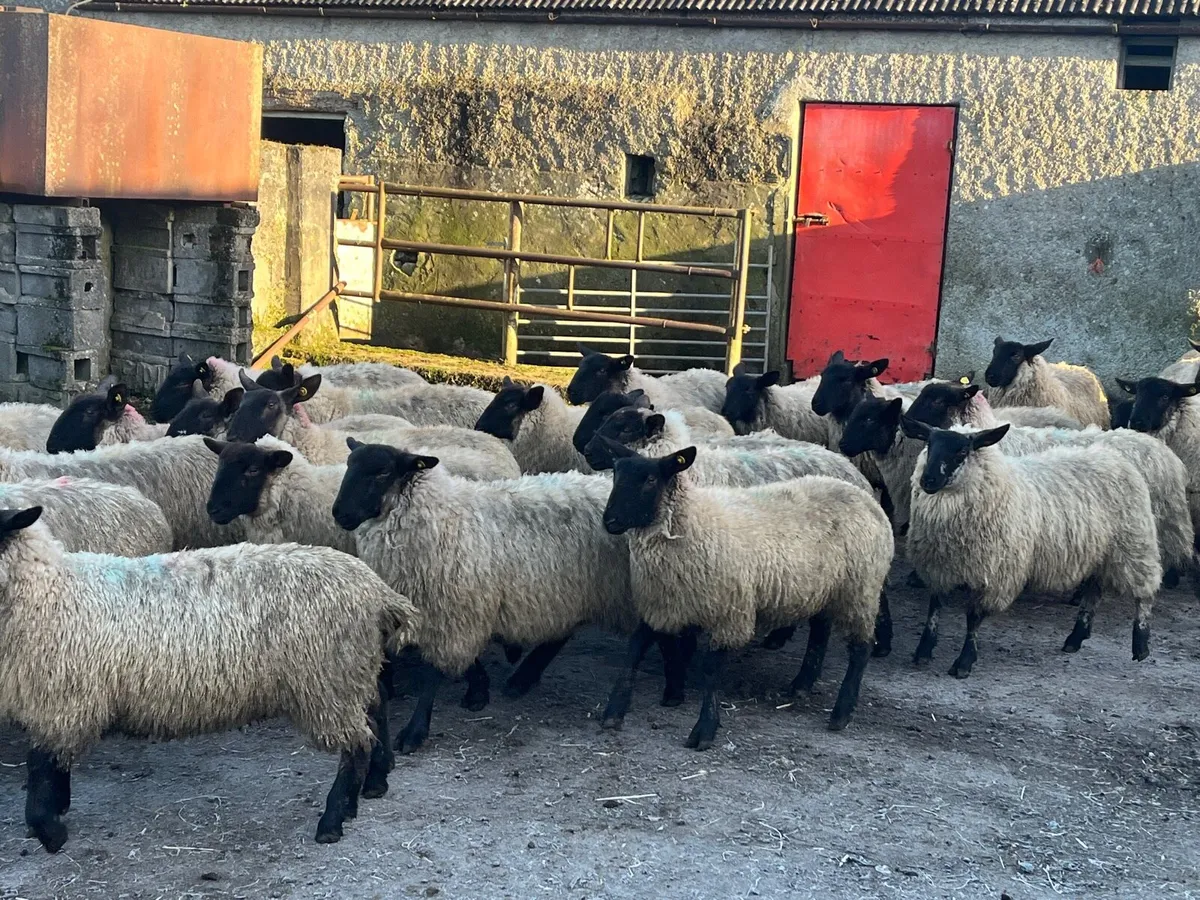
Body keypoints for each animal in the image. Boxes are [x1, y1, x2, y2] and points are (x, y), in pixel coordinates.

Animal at [0, 506, 418, 852]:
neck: (48, 590)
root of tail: (377, 591)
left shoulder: (62, 698)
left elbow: (40, 764)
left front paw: (48, 830)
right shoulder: (57, 702)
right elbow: (52, 764)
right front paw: (56, 811)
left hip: (329, 679)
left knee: (356, 744)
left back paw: (334, 819)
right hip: (353, 670)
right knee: (376, 710)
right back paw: (374, 781)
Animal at [332, 444, 671, 755]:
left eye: (382, 472)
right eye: (348, 465)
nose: (339, 514)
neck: (440, 516)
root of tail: (602, 483)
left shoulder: (452, 609)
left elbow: (433, 673)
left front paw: (415, 732)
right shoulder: (460, 609)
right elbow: (467, 660)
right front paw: (478, 690)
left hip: (634, 587)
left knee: (644, 633)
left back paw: (616, 704)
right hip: (570, 590)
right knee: (563, 632)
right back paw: (523, 677)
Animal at [599, 441, 893, 748]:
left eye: (650, 480)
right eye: (616, 474)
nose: (610, 521)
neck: (690, 523)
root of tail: (866, 497)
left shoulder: (730, 613)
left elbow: (711, 669)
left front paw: (705, 729)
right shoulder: (662, 604)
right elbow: (634, 652)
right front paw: (614, 712)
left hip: (860, 590)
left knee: (860, 649)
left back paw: (841, 712)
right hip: (823, 588)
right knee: (820, 632)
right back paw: (802, 684)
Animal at [902, 419, 1161, 677]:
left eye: (962, 452)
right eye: (929, 444)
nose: (928, 481)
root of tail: (1112, 457)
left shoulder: (995, 575)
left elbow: (973, 618)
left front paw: (964, 662)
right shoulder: (940, 565)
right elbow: (934, 607)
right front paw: (923, 650)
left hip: (1134, 544)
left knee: (1144, 593)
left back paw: (1141, 644)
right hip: (1101, 552)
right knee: (1093, 591)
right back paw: (1075, 638)